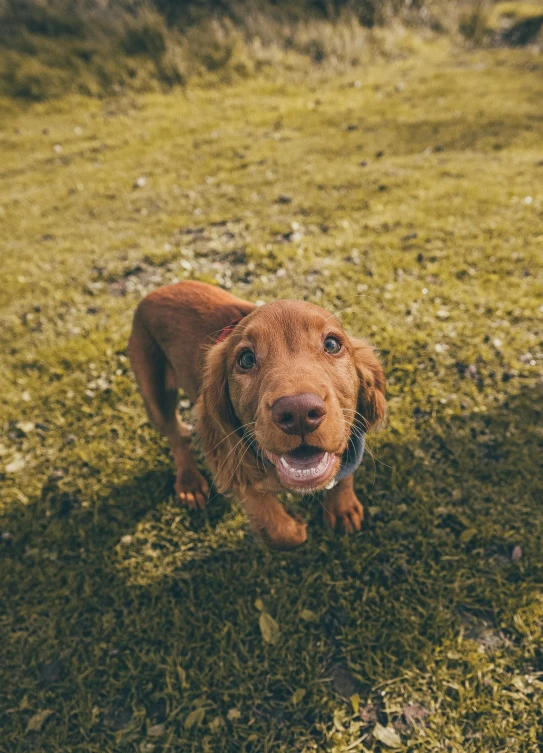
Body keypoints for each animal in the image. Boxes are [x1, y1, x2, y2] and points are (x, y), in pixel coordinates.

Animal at [129, 280, 386, 548]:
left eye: (332, 344)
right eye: (246, 359)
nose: (299, 412)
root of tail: (156, 291)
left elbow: (343, 472)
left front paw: (342, 508)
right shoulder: (237, 466)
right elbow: (280, 531)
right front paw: (295, 523)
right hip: (155, 393)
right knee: (175, 436)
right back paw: (190, 482)